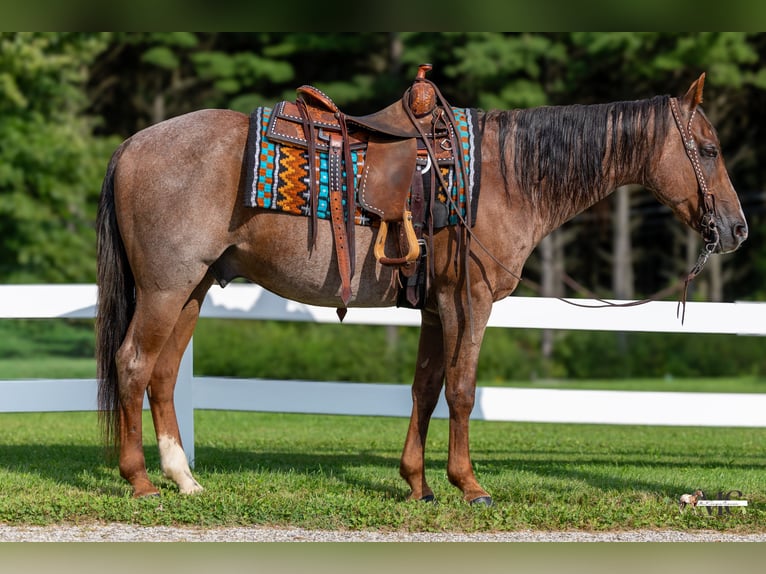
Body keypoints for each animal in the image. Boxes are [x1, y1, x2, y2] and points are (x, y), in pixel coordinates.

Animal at [96, 72, 747, 505]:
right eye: (710, 150)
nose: (738, 228)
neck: (502, 177)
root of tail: (131, 144)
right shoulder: (469, 301)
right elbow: (461, 390)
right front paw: (469, 484)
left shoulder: (437, 308)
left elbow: (425, 390)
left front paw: (418, 483)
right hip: (165, 289)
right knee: (133, 364)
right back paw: (140, 480)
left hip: (192, 289)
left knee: (162, 376)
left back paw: (184, 478)